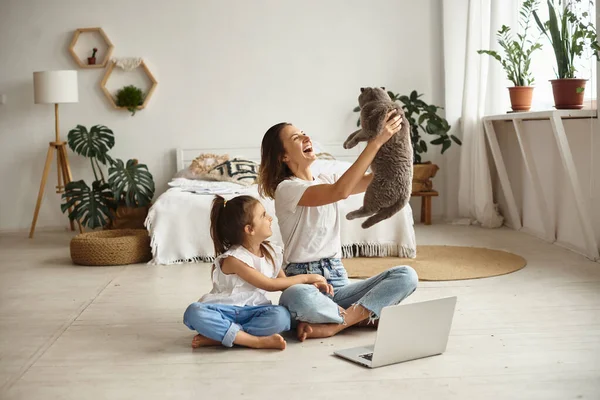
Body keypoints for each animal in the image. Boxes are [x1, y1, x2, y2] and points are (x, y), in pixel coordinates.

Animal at [342, 86, 412, 228]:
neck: (380, 100)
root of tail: (405, 195)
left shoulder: (369, 129)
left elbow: (358, 135)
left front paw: (350, 144)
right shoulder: (364, 127)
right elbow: (355, 133)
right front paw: (346, 143)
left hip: (373, 191)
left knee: (369, 210)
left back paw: (351, 215)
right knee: (378, 212)